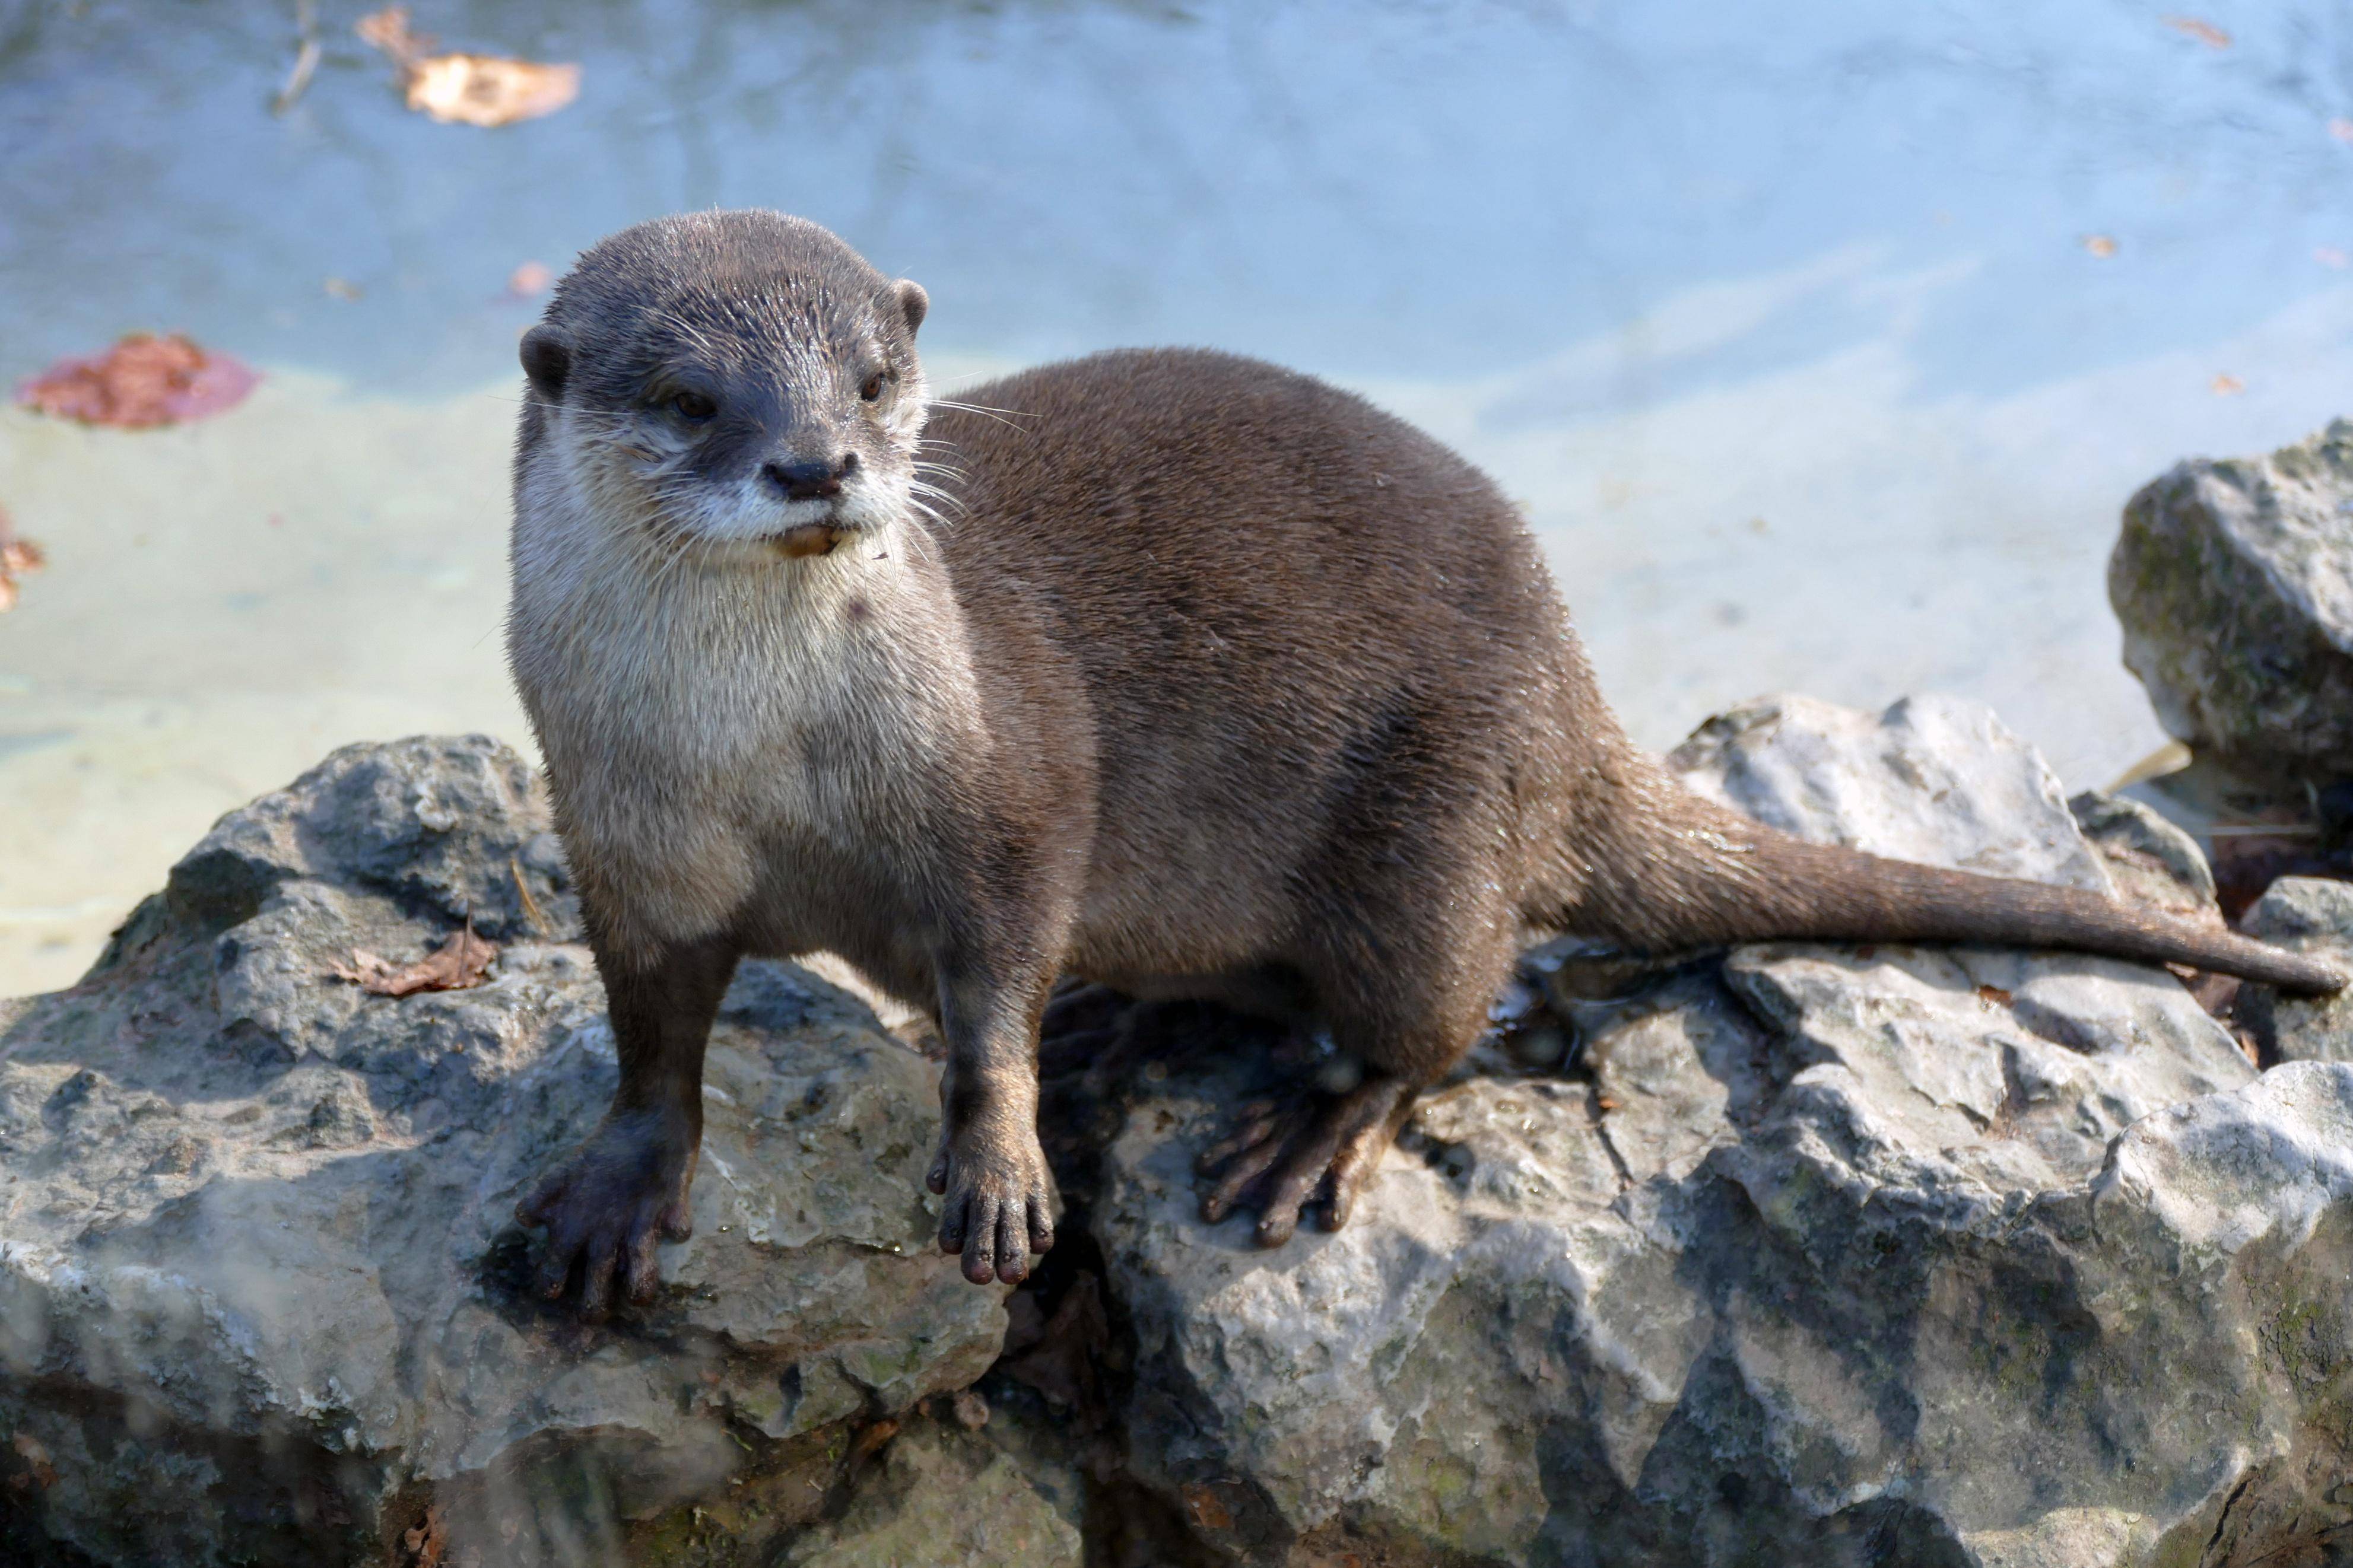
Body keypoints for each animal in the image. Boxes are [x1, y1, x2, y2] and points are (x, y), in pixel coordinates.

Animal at [506, 210, 2343, 1318]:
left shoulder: (1005, 790)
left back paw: (1310, 1131)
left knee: (1446, 1016)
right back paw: (1132, 1018)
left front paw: (1000, 1166)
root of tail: (1569, 699)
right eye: (690, 397)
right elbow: (653, 1031)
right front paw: (614, 1184)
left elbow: (995, 984)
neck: (773, 759)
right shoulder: (623, 831)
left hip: (1434, 825)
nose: (817, 461)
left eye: (878, 382)